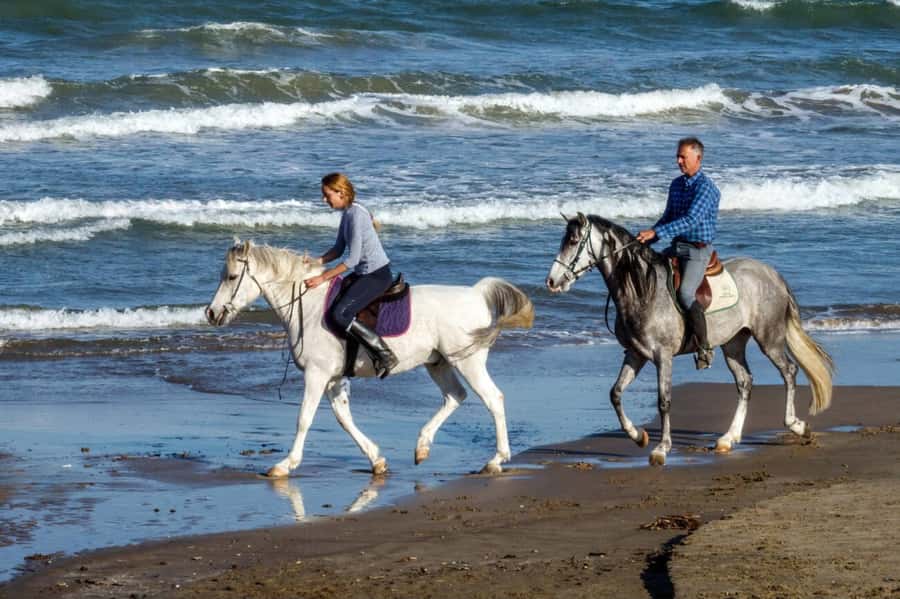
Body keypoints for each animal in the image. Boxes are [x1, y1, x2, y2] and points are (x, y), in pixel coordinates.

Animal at [205, 240, 534, 477]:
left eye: (231, 277)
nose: (211, 313)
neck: (307, 305)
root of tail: (477, 295)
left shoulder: (317, 374)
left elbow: (304, 418)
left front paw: (285, 465)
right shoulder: (334, 378)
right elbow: (343, 418)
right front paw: (376, 459)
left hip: (467, 361)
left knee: (493, 399)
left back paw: (496, 460)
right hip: (438, 362)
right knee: (455, 396)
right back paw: (422, 447)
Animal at [545, 213, 833, 466]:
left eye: (573, 242)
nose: (552, 281)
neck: (642, 290)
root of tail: (772, 274)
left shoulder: (663, 356)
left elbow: (664, 401)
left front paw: (661, 449)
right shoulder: (635, 354)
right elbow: (615, 393)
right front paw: (639, 436)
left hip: (769, 338)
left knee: (789, 371)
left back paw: (796, 425)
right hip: (733, 343)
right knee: (745, 382)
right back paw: (728, 438)